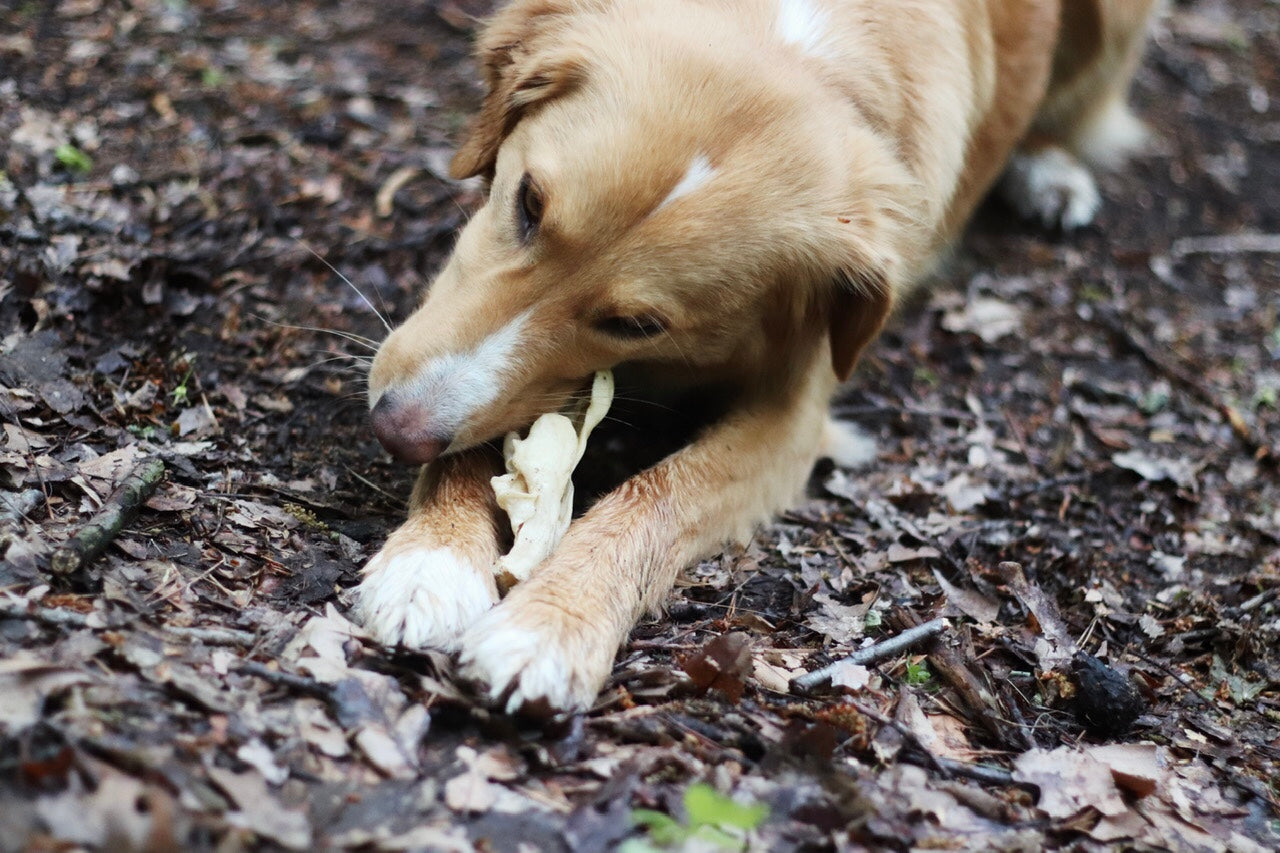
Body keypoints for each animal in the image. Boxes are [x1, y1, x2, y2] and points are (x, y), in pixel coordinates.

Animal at [353, 0, 1162, 712]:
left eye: (637, 323)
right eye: (527, 203)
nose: (395, 429)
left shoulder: (791, 417)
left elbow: (655, 497)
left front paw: (547, 626)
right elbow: (476, 430)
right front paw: (430, 562)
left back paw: (1048, 171)